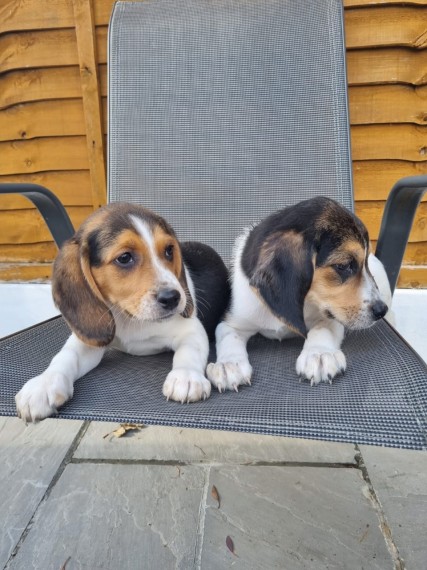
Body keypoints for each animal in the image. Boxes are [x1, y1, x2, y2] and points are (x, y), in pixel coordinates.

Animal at [15, 202, 231, 420]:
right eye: (125, 258)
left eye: (169, 250)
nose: (173, 298)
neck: (130, 318)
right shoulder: (88, 342)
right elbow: (65, 357)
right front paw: (43, 385)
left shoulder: (191, 330)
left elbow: (188, 352)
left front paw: (186, 377)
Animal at [206, 196, 392, 390]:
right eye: (343, 265)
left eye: (365, 263)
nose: (381, 311)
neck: (307, 300)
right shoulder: (231, 321)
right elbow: (229, 336)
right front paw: (228, 364)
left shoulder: (331, 316)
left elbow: (321, 328)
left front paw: (319, 354)